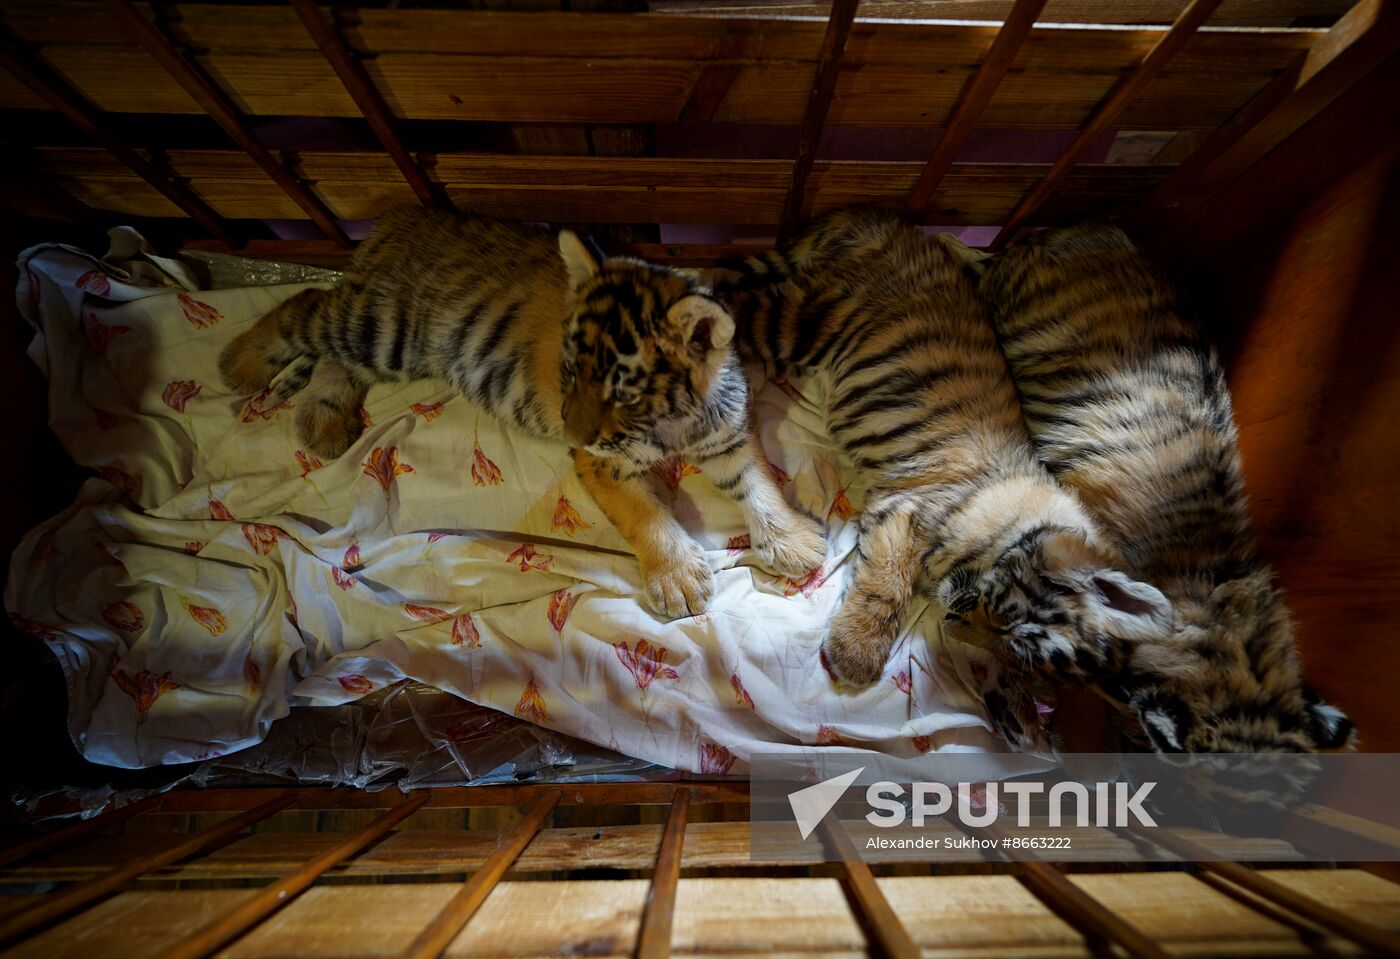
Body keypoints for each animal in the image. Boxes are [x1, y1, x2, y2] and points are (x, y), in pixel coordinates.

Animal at [218, 208, 828, 619]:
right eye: (569, 371)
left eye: (622, 392)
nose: (572, 430)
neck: (671, 422)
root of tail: (403, 215)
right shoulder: (602, 462)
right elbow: (647, 515)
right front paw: (678, 579)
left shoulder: (729, 432)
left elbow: (759, 481)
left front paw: (794, 542)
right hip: (384, 326)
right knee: (306, 307)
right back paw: (237, 363)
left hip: (393, 349)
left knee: (332, 355)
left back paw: (322, 421)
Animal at [710, 207, 1174, 688]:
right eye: (1008, 616)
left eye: (1014, 652)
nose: (951, 620)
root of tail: (879, 220)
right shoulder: (905, 510)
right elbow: (886, 587)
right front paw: (855, 655)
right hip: (807, 321)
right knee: (734, 307)